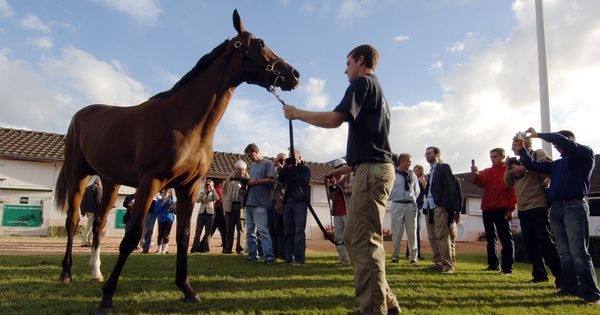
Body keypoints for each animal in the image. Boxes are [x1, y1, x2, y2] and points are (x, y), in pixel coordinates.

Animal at [54, 9, 300, 314]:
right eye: (259, 42)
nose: (294, 74)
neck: (183, 121)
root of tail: (80, 115)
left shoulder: (189, 187)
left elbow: (183, 235)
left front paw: (186, 289)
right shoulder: (150, 183)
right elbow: (131, 237)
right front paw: (107, 297)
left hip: (110, 182)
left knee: (98, 224)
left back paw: (95, 272)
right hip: (79, 175)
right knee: (74, 221)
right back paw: (66, 274)